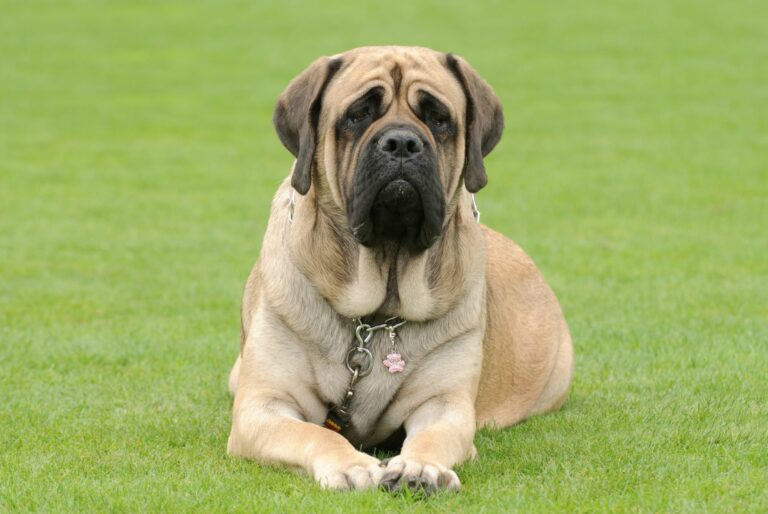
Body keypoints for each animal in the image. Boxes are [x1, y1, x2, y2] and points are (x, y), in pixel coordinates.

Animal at [225, 46, 572, 490]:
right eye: (358, 114)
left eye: (439, 119)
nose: (403, 142)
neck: (377, 314)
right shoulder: (262, 406)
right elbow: (316, 433)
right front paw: (350, 465)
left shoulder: (444, 404)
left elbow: (433, 437)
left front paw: (419, 468)